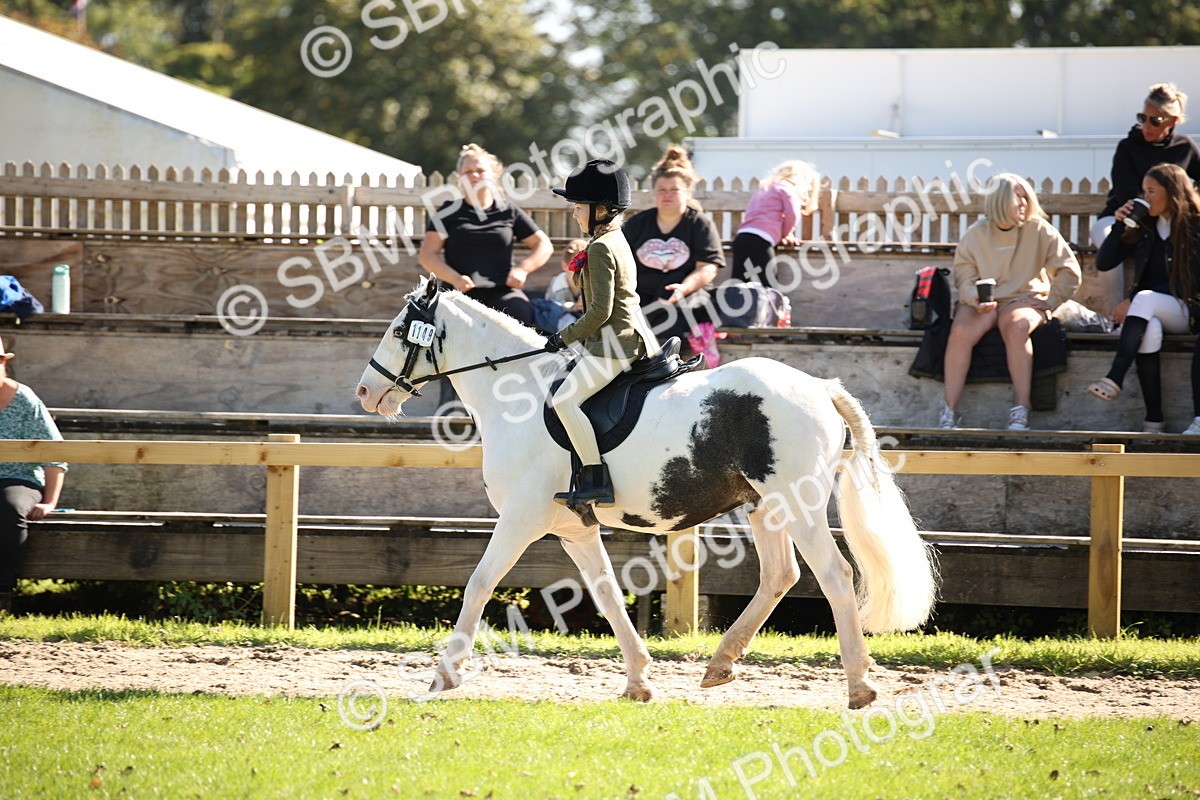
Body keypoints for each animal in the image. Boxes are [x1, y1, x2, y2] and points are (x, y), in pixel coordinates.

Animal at [356, 277, 937, 708]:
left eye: (399, 330)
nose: (364, 391)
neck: (518, 394)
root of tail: (819, 386)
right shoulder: (573, 528)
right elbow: (608, 593)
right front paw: (638, 681)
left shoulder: (521, 519)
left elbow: (478, 584)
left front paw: (444, 675)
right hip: (765, 508)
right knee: (780, 575)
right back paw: (720, 665)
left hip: (797, 503)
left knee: (834, 576)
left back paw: (859, 686)